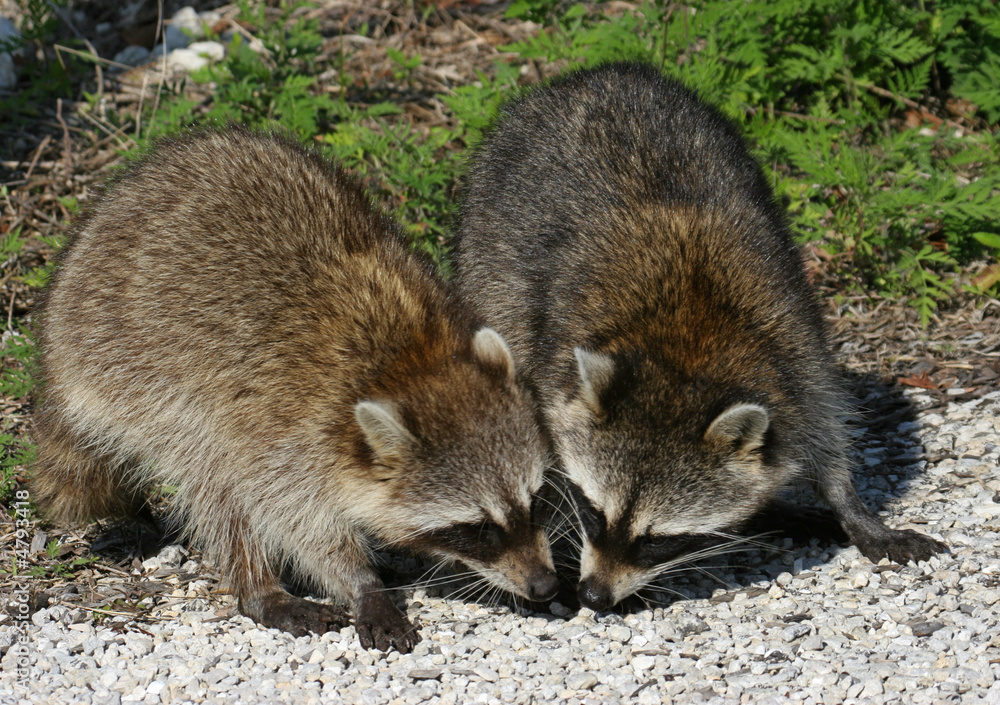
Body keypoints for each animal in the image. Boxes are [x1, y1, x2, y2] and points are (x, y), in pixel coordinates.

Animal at [32, 128, 559, 652]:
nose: (544, 584)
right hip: (134, 367)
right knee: (213, 475)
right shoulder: (285, 430)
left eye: (535, 501)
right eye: (478, 529)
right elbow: (294, 517)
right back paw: (258, 587)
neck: (409, 365)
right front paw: (360, 581)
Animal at [453, 62, 945, 611]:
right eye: (595, 512)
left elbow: (824, 429)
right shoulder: (550, 354)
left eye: (655, 540)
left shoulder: (795, 345)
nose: (595, 596)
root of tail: (598, 73)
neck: (688, 349)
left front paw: (850, 505)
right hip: (488, 237)